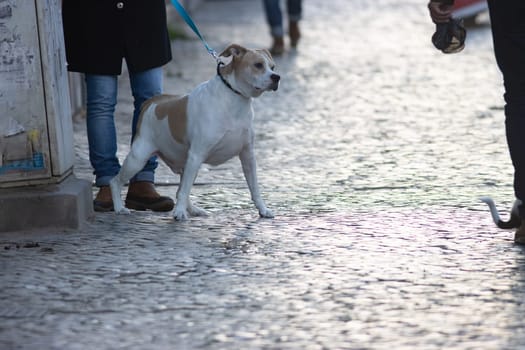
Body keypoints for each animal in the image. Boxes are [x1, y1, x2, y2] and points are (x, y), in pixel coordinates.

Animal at [109, 43, 278, 219]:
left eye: (272, 67)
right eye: (258, 65)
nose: (276, 77)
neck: (233, 98)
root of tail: (152, 102)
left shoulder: (247, 156)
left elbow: (255, 188)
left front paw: (263, 209)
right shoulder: (197, 154)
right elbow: (185, 190)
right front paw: (179, 213)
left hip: (187, 164)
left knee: (180, 189)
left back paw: (195, 210)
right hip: (138, 158)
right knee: (115, 181)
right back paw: (119, 207)